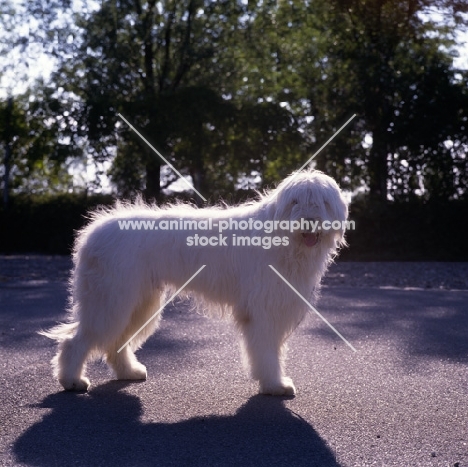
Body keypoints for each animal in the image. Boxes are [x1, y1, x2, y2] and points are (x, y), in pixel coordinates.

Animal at [42, 170, 350, 396]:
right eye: (295, 202)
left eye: (322, 202)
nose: (309, 222)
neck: (283, 241)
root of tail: (93, 231)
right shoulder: (263, 311)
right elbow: (266, 351)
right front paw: (275, 385)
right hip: (111, 299)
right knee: (76, 340)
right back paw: (71, 380)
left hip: (138, 301)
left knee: (116, 341)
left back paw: (128, 371)